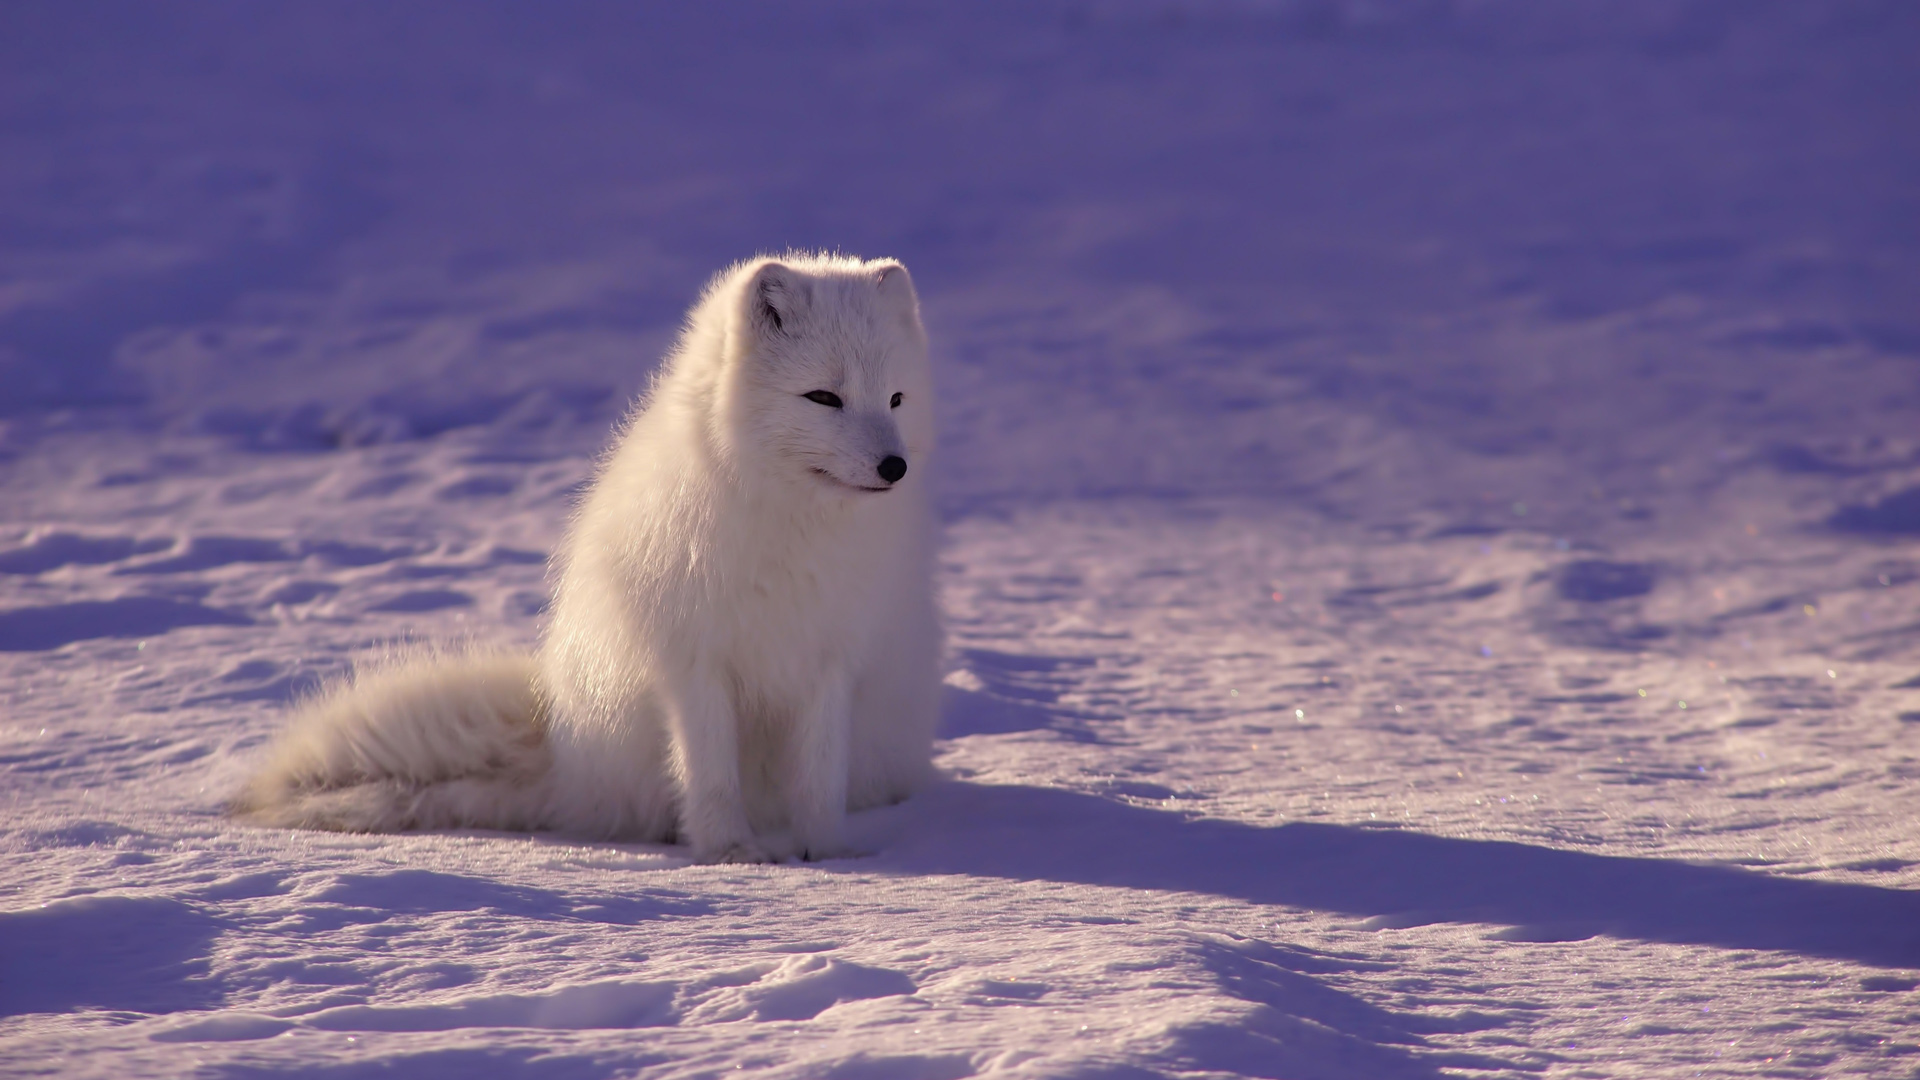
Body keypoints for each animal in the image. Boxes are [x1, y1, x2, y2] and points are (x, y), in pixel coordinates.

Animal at [236, 249, 940, 857]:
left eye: (896, 398)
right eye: (824, 397)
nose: (895, 467)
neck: (792, 527)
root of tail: (564, 755)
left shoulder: (831, 661)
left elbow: (819, 778)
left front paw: (829, 856)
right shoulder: (694, 662)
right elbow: (711, 774)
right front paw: (731, 853)